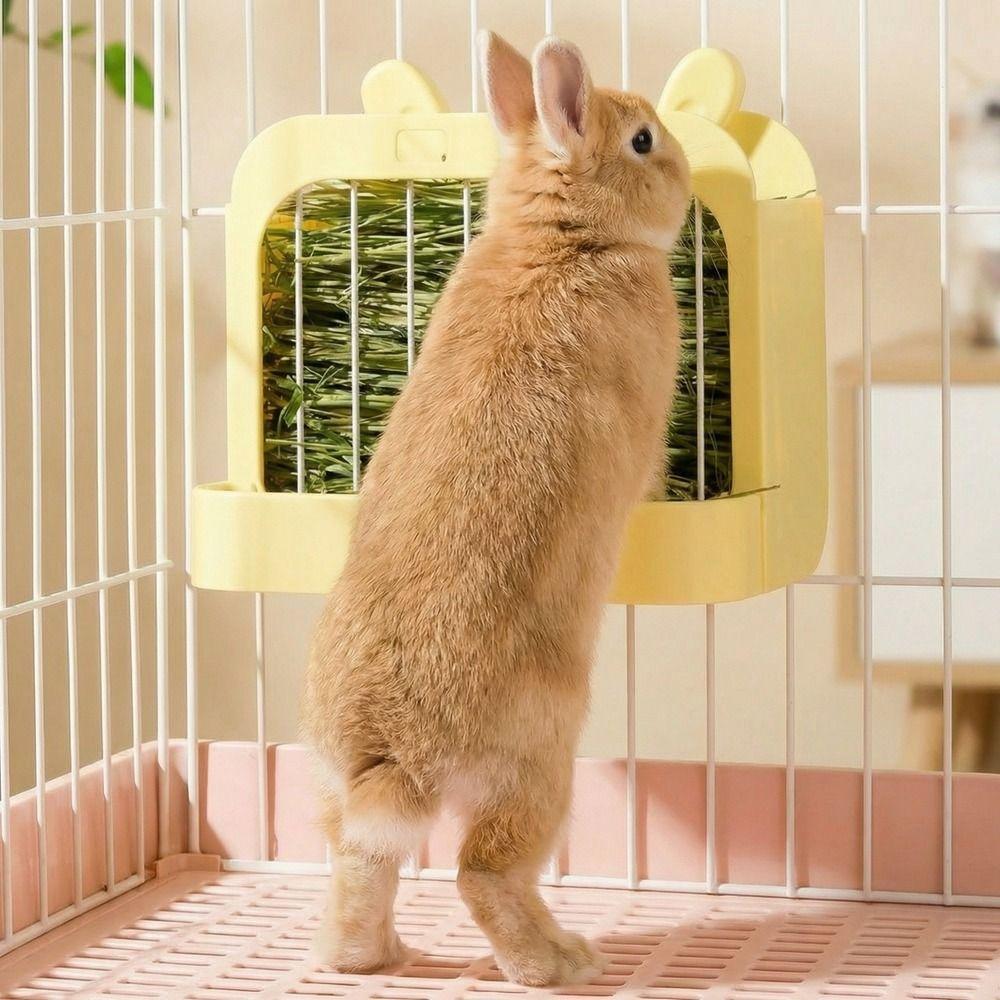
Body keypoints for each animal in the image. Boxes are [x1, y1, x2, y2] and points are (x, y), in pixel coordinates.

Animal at [302, 31, 690, 988]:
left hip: (330, 784)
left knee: (359, 862)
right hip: (540, 764)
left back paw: (369, 957)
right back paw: (563, 962)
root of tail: (394, 748)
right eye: (642, 142)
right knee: (484, 873)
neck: (563, 238)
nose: (687, 170)